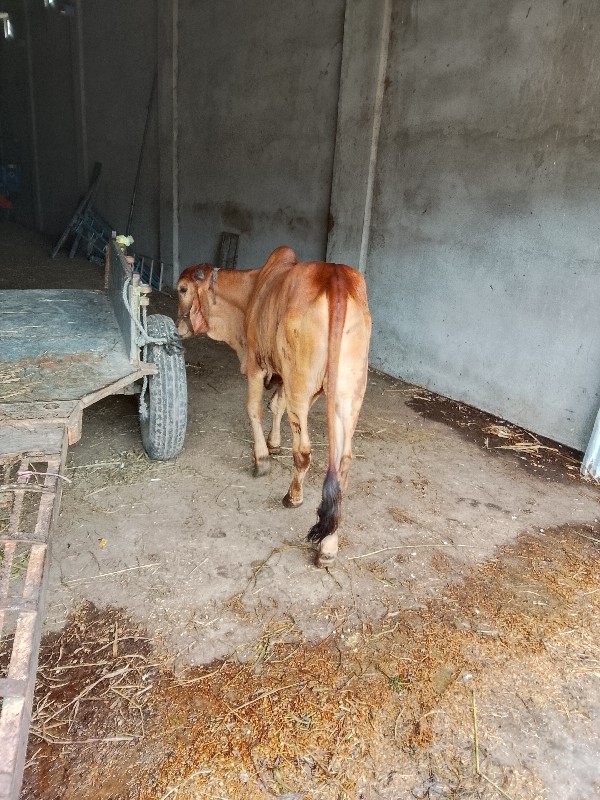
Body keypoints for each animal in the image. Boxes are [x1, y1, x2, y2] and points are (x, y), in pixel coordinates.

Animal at [176, 246, 371, 567]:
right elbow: (275, 405)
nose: (178, 326)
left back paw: (293, 498)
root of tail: (336, 279)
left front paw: (262, 459)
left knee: (304, 451)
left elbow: (254, 408)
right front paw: (274, 443)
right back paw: (329, 546)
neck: (252, 291)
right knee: (343, 463)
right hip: (348, 393)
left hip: (302, 383)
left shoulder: (257, 364)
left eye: (181, 289)